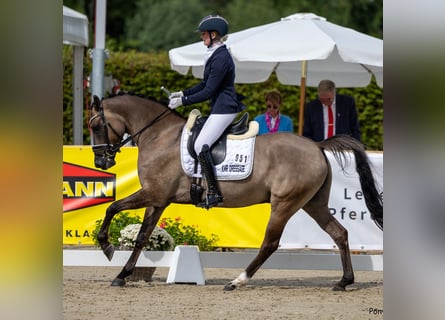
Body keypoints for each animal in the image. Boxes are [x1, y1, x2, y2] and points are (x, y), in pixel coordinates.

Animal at [87, 93, 382, 292]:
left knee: (270, 243)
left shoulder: (153, 194)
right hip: (313, 203)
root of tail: (317, 146)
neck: (160, 136)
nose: (101, 162)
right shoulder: (158, 200)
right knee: (339, 233)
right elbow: (141, 237)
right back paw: (344, 281)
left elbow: (112, 208)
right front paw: (122, 275)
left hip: (285, 203)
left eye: (95, 126)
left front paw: (106, 246)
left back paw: (237, 281)